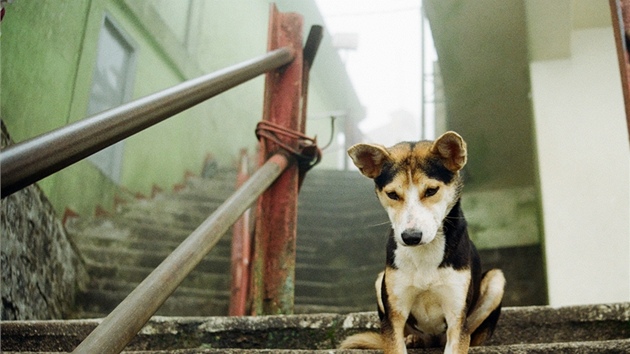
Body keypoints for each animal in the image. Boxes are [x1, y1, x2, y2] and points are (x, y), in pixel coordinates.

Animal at [338, 131, 506, 352]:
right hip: (380, 280)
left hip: (496, 280)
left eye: (431, 190)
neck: (424, 251)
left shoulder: (456, 319)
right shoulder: (393, 318)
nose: (411, 237)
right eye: (392, 194)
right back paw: (414, 340)